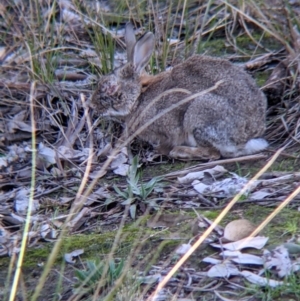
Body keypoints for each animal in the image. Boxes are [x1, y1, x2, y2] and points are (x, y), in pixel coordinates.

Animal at [90, 22, 268, 159]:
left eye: (111, 88)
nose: (92, 106)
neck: (139, 96)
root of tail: (247, 137)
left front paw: (159, 150)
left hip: (199, 115)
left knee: (213, 153)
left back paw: (180, 152)